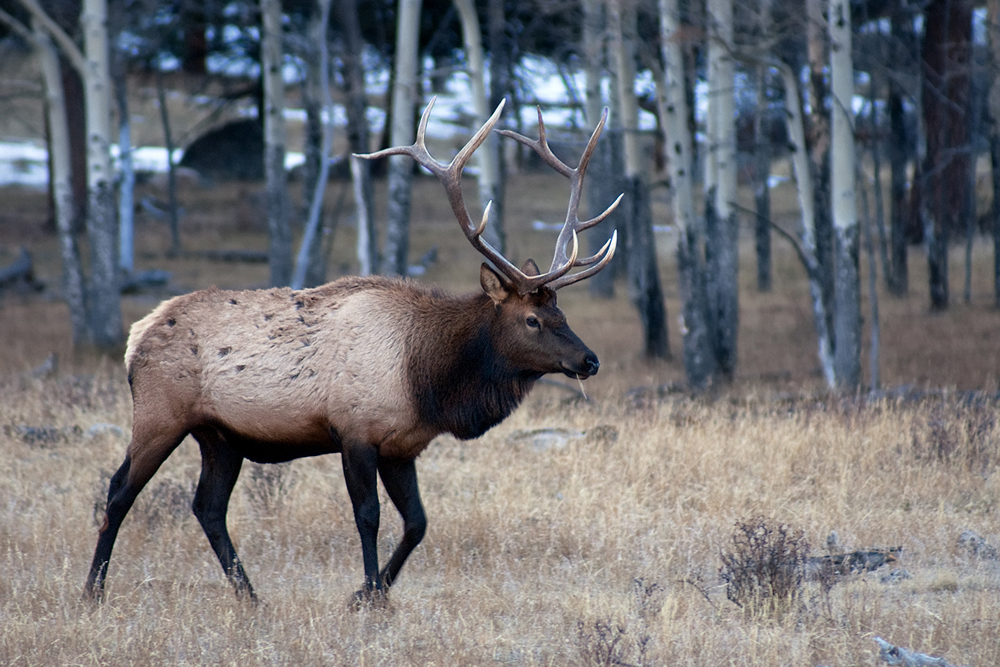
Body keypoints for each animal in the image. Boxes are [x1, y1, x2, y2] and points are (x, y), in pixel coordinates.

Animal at [85, 98, 619, 605]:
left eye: (561, 312)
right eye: (532, 320)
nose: (590, 360)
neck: (428, 379)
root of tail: (137, 335)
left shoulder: (403, 447)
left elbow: (418, 522)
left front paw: (373, 591)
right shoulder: (355, 430)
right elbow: (368, 516)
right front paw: (368, 594)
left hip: (220, 436)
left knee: (208, 507)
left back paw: (250, 596)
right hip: (160, 414)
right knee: (118, 492)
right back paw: (93, 591)